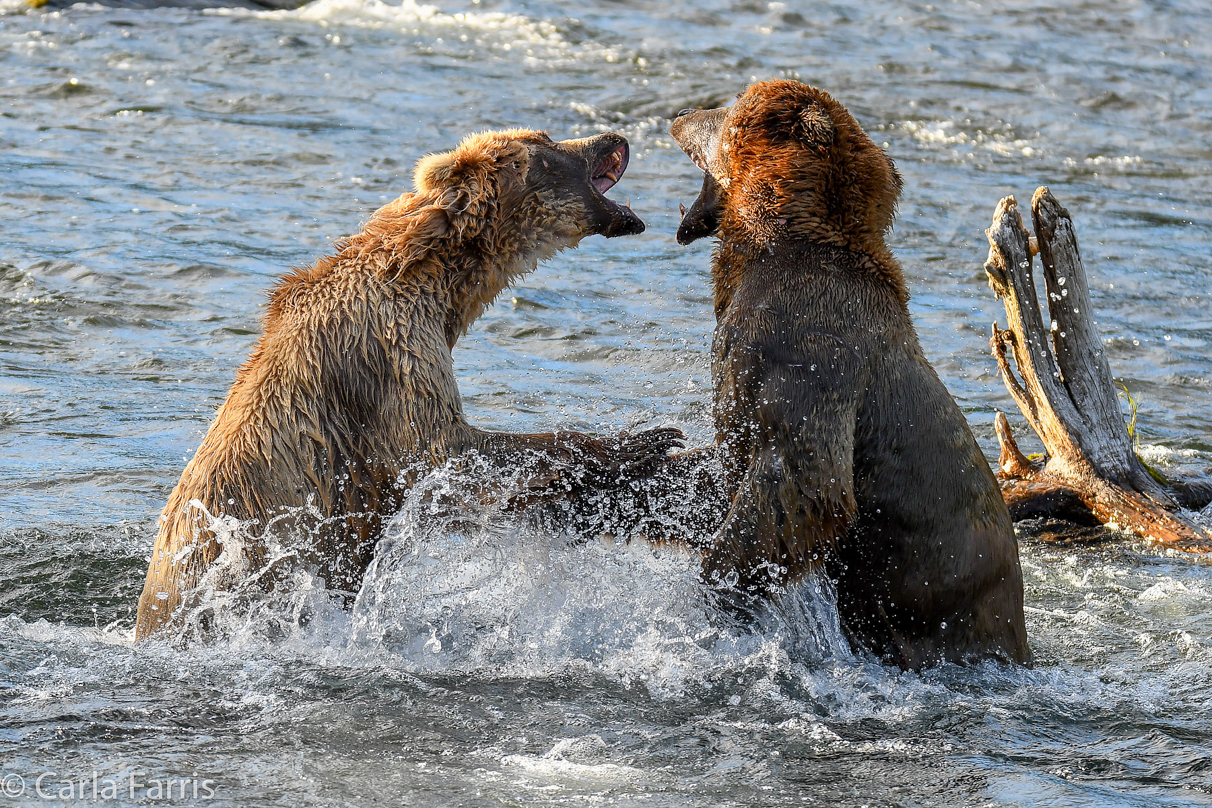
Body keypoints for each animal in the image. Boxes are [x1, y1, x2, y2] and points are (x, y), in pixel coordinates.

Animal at [135, 129, 683, 639]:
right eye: (547, 144)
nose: (613, 137)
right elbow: (443, 448)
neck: (438, 282)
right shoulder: (391, 350)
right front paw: (646, 439)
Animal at [669, 82, 1027, 668]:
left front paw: (718, 586)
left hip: (946, 606)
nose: (679, 111)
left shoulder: (806, 354)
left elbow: (806, 479)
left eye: (731, 105)